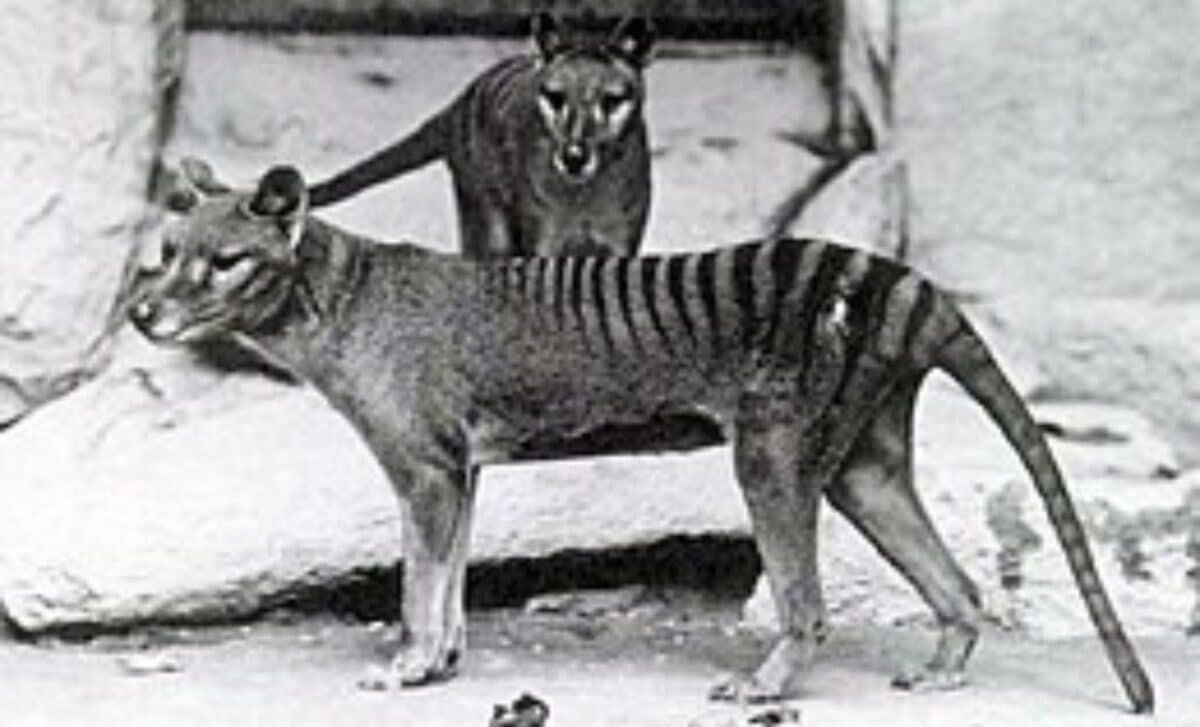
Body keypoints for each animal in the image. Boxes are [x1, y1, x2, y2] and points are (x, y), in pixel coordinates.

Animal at [129, 161, 1154, 714]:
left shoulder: (421, 467)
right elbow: (449, 576)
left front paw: (407, 665)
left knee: (807, 601)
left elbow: (421, 581)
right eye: (164, 254)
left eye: (223, 260)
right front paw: (444, 662)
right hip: (863, 467)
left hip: (772, 456)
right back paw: (942, 671)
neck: (340, 295)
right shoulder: (459, 471)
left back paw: (767, 683)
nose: (141, 313)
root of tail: (906, 284)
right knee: (958, 585)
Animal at [307, 13, 654, 259]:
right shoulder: (543, 241)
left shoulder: (621, 242)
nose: (574, 157)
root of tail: (458, 104)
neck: (585, 196)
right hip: (489, 227)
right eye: (555, 98)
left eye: (611, 100)